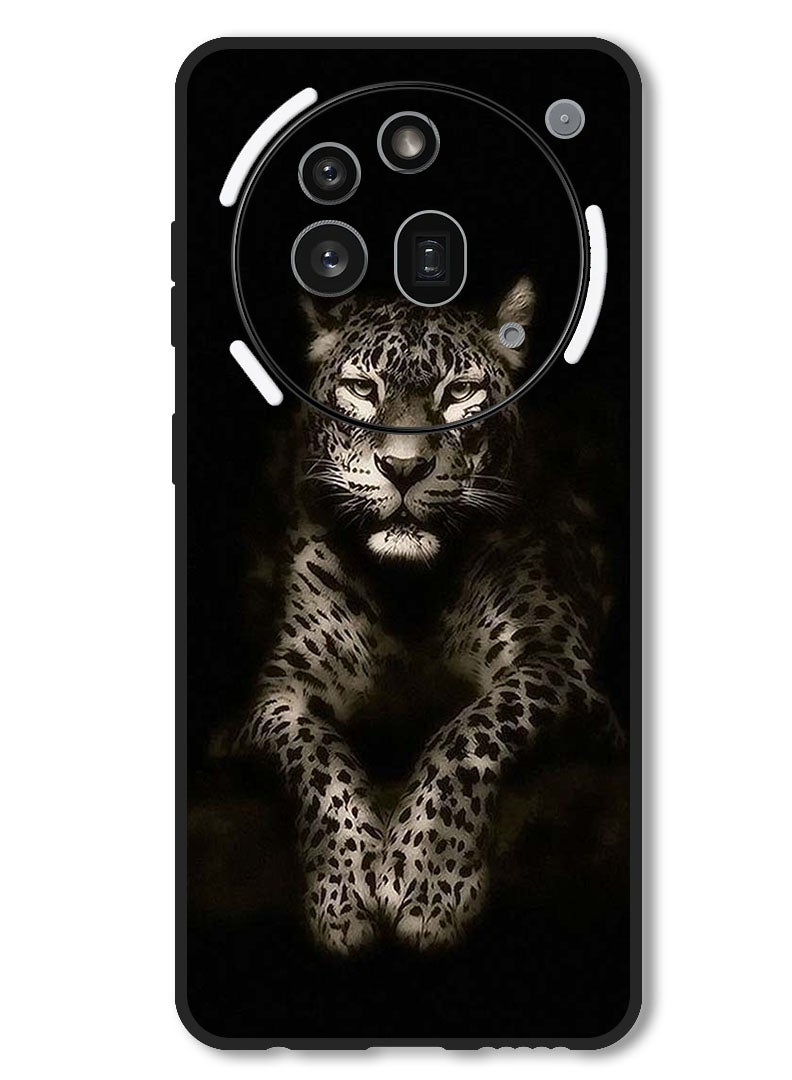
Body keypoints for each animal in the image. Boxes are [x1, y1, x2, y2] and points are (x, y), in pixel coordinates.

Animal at [234, 278, 624, 954]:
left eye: (460, 391)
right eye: (364, 388)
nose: (404, 468)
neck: (409, 592)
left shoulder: (558, 663)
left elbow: (468, 732)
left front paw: (427, 881)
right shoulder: (279, 693)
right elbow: (318, 759)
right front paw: (344, 892)